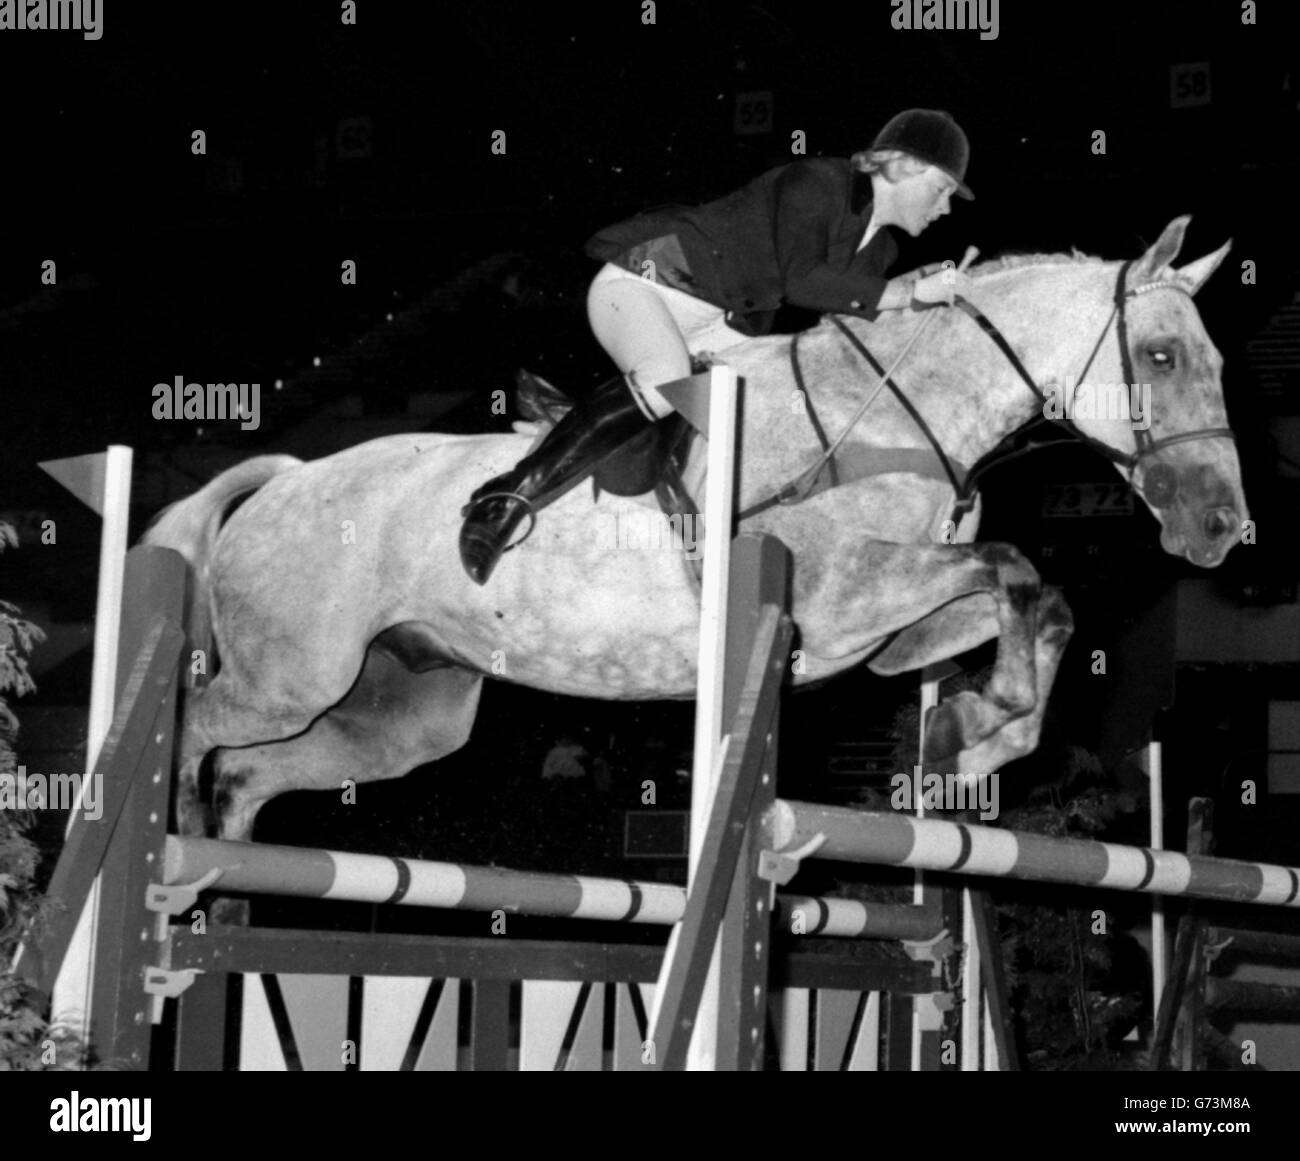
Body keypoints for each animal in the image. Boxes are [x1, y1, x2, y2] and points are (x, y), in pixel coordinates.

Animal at [144, 216, 1246, 843]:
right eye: (1157, 356)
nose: (1222, 529)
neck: (900, 412)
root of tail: (289, 476)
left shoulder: (885, 627)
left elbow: (1026, 600)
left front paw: (969, 736)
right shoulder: (840, 599)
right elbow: (1011, 564)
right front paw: (981, 722)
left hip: (400, 711)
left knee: (247, 770)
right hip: (293, 676)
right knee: (196, 730)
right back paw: (167, 866)